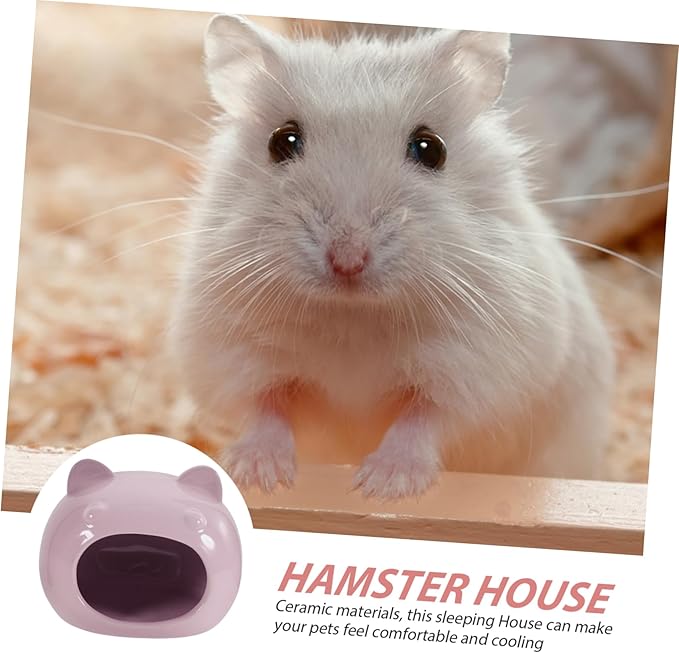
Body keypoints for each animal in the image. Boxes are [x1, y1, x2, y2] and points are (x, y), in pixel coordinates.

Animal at [170, 15, 615, 500]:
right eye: (281, 142)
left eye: (430, 148)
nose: (347, 260)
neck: (353, 317)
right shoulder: (233, 353)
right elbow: (265, 407)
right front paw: (258, 476)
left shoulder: (478, 368)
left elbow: (424, 418)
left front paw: (382, 486)